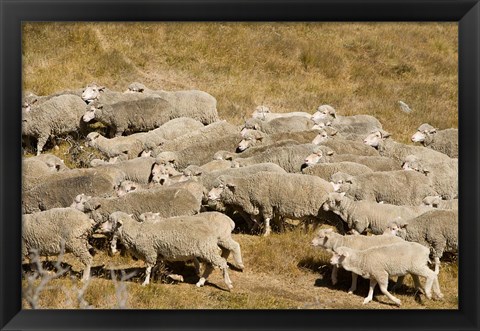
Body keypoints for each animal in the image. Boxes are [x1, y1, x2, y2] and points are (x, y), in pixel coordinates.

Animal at [98, 211, 236, 290]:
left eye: (110, 220)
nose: (100, 226)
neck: (136, 231)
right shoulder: (158, 254)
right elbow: (156, 268)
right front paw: (160, 277)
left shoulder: (150, 252)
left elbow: (148, 270)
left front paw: (145, 283)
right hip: (207, 249)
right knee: (211, 265)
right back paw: (200, 282)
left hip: (206, 248)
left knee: (222, 263)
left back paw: (228, 284)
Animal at [206, 171, 334, 236]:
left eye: (221, 186)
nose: (209, 195)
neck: (248, 188)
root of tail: (330, 186)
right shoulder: (268, 206)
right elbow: (258, 219)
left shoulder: (266, 204)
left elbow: (266, 219)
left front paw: (265, 233)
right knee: (313, 221)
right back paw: (306, 231)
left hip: (320, 211)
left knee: (318, 222)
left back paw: (309, 231)